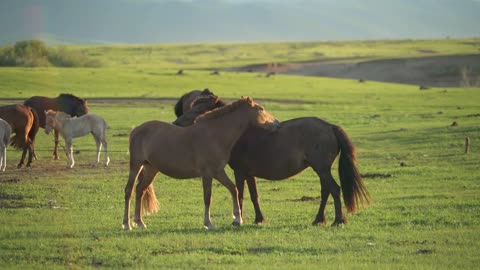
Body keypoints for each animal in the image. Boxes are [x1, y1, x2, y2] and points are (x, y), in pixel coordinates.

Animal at [124, 97, 280, 230]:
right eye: (261, 109)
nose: (277, 123)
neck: (214, 135)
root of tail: (136, 129)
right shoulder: (207, 174)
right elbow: (207, 197)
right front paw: (208, 223)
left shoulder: (218, 172)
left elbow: (233, 189)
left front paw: (237, 218)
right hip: (136, 166)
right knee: (129, 190)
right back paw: (127, 225)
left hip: (151, 169)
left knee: (140, 190)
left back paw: (140, 222)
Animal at [174, 93, 370, 226]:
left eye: (198, 110)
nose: (176, 124)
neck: (239, 133)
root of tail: (330, 127)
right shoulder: (249, 173)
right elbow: (254, 196)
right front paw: (259, 219)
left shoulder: (240, 171)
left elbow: (240, 194)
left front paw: (239, 219)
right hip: (322, 170)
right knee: (326, 192)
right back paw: (318, 219)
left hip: (321, 169)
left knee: (334, 190)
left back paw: (338, 220)